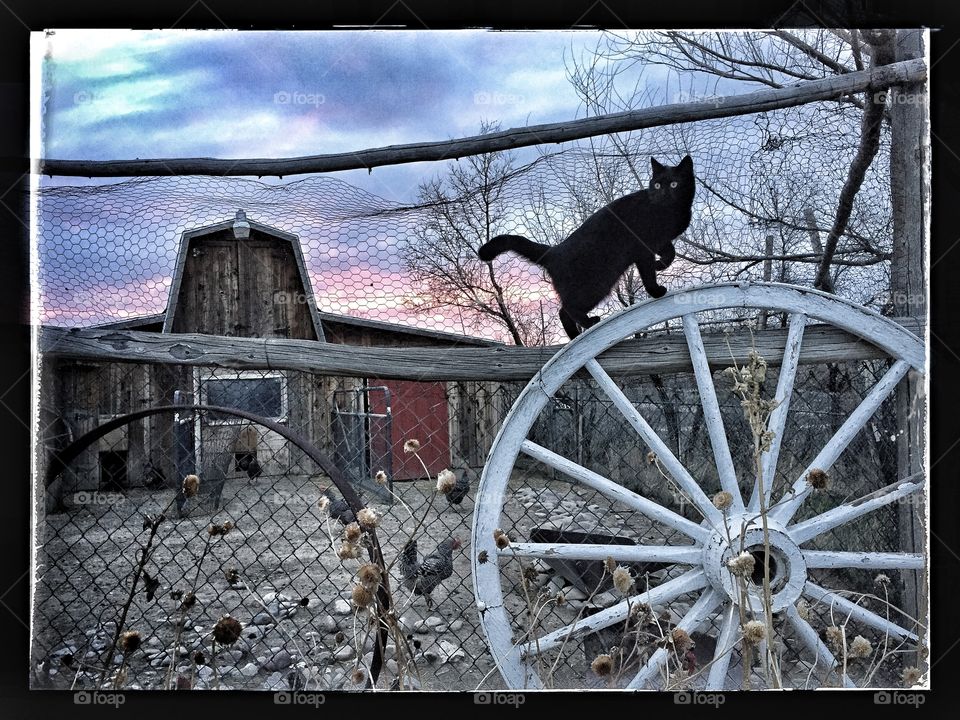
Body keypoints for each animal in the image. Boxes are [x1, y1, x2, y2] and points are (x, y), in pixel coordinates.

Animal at [480, 155, 696, 340]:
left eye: (674, 184)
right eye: (657, 184)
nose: (662, 193)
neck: (667, 211)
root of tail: (554, 251)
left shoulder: (660, 241)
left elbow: (670, 252)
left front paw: (661, 264)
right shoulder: (643, 250)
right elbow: (648, 273)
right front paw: (656, 290)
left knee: (565, 312)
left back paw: (574, 336)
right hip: (597, 284)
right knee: (566, 309)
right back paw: (589, 324)